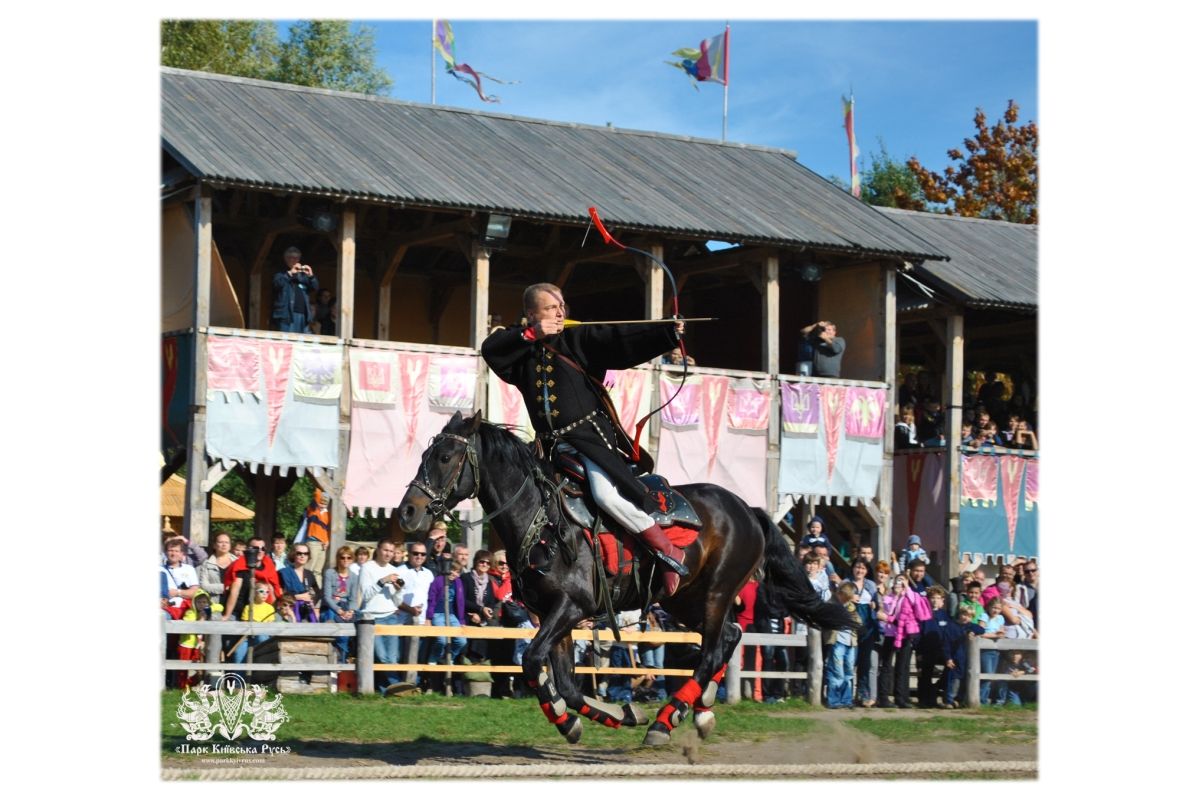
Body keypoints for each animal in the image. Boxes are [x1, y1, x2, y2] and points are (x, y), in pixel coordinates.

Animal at [398, 412, 859, 743]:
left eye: (444, 458)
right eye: (423, 456)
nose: (408, 512)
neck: (541, 520)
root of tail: (749, 510)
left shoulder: (572, 607)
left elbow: (532, 662)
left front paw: (581, 718)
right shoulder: (551, 614)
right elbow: (564, 682)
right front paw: (605, 715)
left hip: (714, 593)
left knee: (712, 652)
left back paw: (668, 719)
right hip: (682, 598)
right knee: (729, 636)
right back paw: (701, 709)